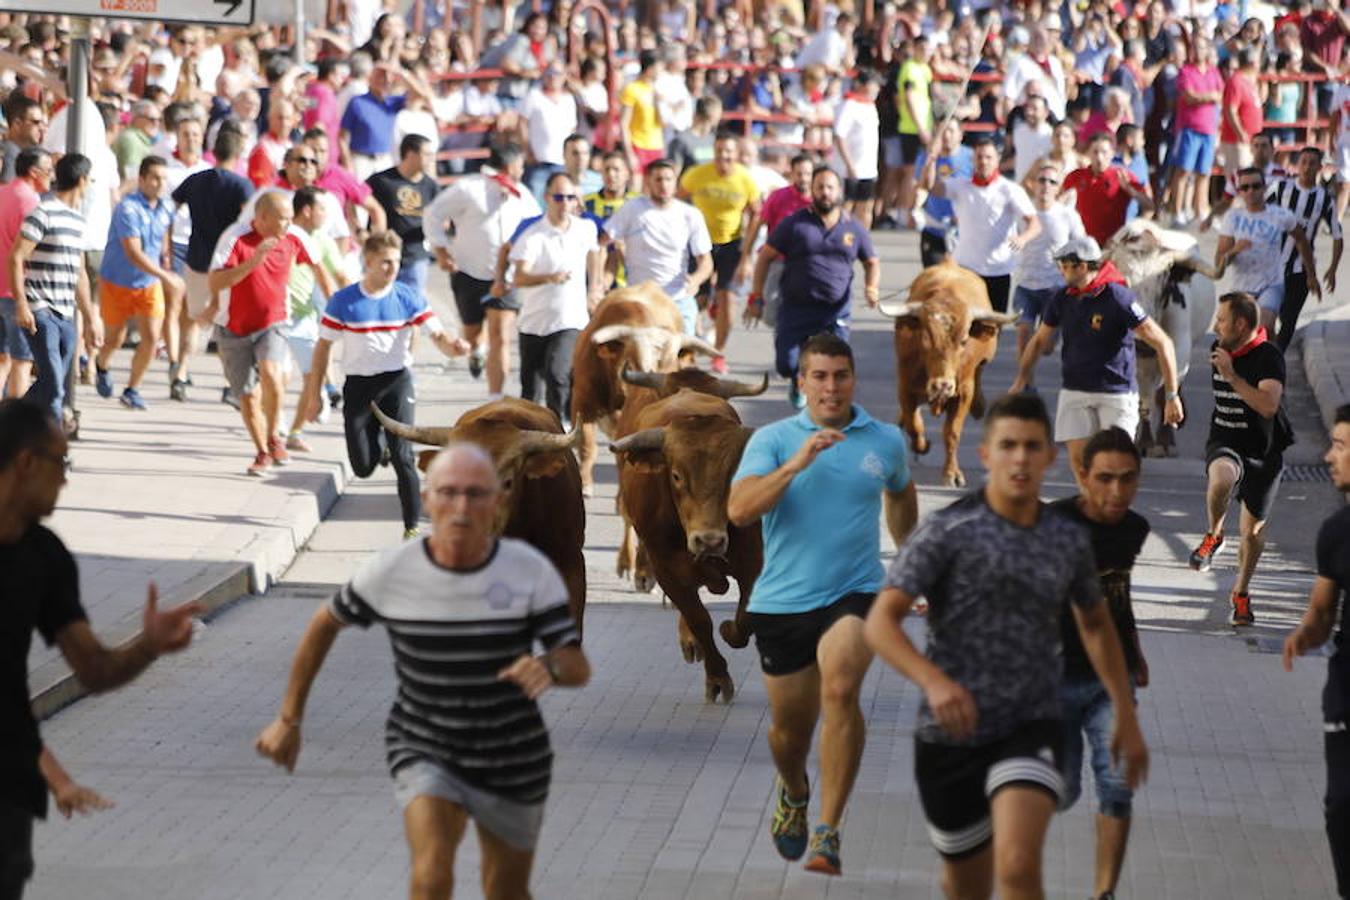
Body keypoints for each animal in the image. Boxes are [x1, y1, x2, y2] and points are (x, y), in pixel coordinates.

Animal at [880, 260, 1015, 485]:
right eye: (925, 338)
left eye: (964, 341)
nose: (942, 385)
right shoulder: (905, 386)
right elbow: (914, 425)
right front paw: (922, 445)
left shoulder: (963, 392)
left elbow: (951, 432)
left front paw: (952, 473)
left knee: (980, 372)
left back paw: (979, 406)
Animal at [1107, 218, 1225, 458]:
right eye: (1122, 280)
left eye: (1162, 282)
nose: (1141, 340)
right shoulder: (1137, 358)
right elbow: (1143, 397)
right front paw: (1144, 441)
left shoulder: (1180, 350)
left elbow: (1165, 392)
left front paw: (1165, 440)